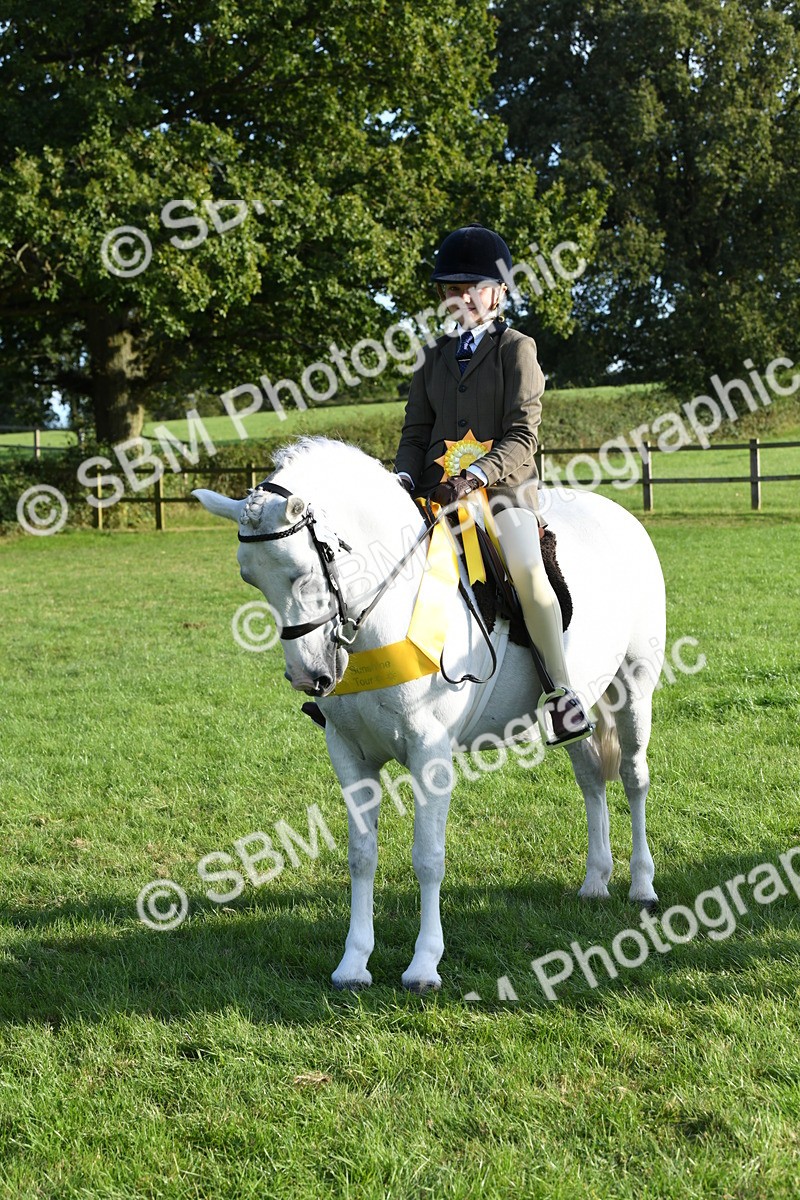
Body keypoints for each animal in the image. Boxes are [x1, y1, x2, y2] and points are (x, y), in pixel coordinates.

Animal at [194, 436, 666, 992]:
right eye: (251, 579)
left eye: (305, 572)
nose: (311, 677)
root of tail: (621, 516)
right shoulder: (348, 753)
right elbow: (361, 855)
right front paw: (354, 963)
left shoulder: (430, 752)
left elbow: (428, 858)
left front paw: (424, 965)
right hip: (579, 705)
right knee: (591, 776)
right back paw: (595, 880)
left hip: (633, 688)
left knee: (634, 777)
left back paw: (642, 886)